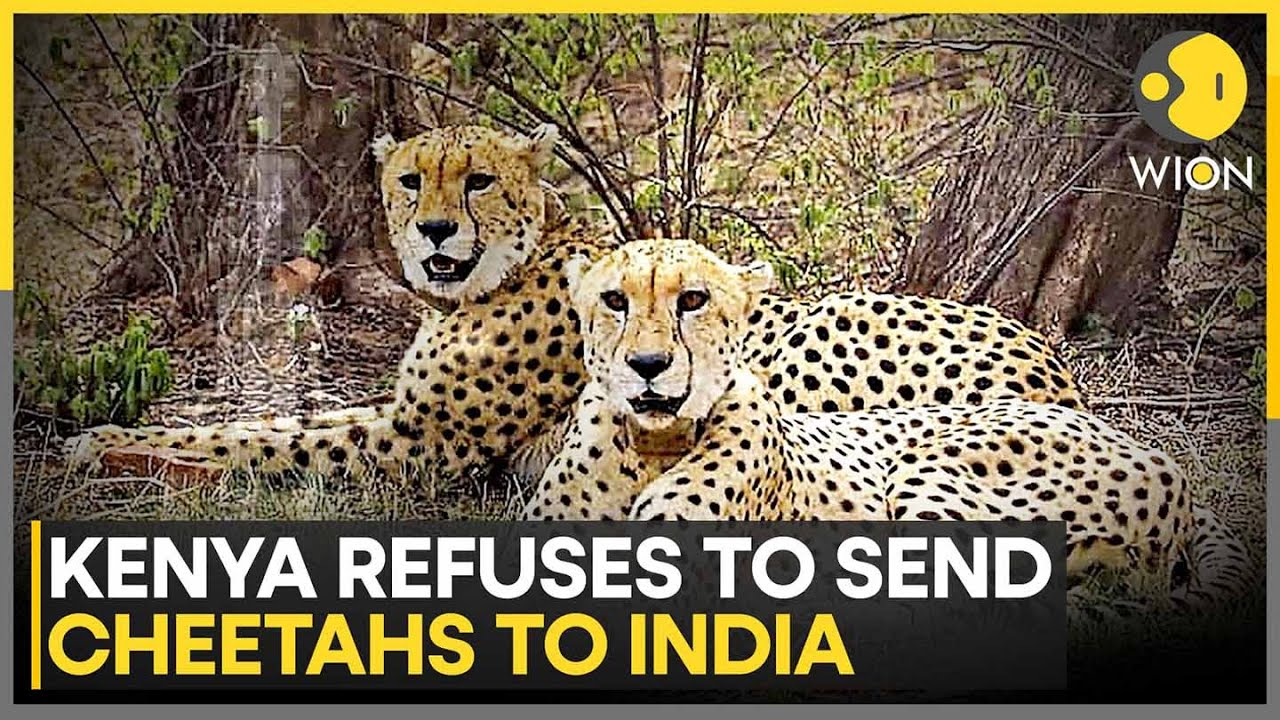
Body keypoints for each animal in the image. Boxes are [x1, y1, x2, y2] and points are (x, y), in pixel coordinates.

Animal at [69, 123, 1084, 491]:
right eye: (412, 180)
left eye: (477, 180)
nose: (434, 232)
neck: (492, 281)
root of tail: (1053, 361)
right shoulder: (401, 414)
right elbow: (273, 419)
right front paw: (113, 439)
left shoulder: (422, 444)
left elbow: (262, 442)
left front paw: (113, 451)